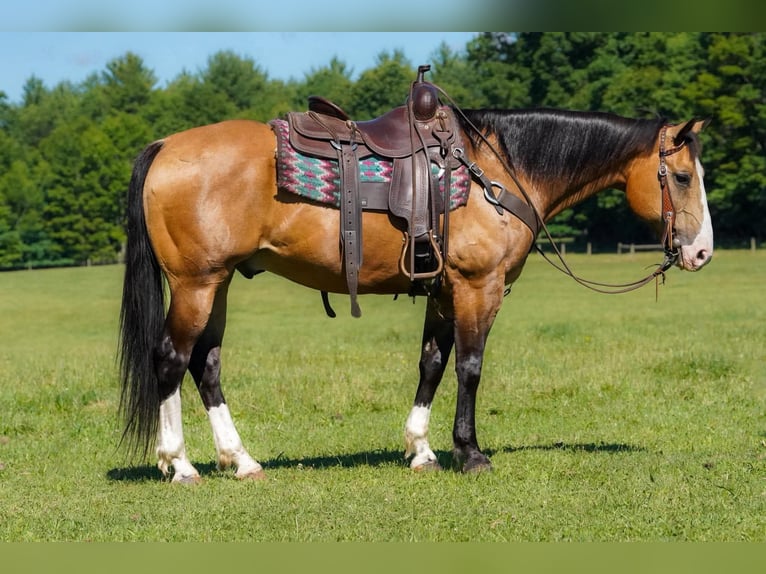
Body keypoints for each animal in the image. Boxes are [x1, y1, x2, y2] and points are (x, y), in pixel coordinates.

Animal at [118, 100, 713, 483]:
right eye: (683, 177)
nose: (703, 251)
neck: (496, 172)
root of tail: (165, 145)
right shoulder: (477, 287)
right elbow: (469, 367)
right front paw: (469, 454)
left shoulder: (444, 292)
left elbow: (432, 363)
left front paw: (422, 450)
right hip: (196, 285)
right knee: (171, 359)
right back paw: (181, 464)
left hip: (217, 284)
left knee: (206, 365)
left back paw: (240, 460)